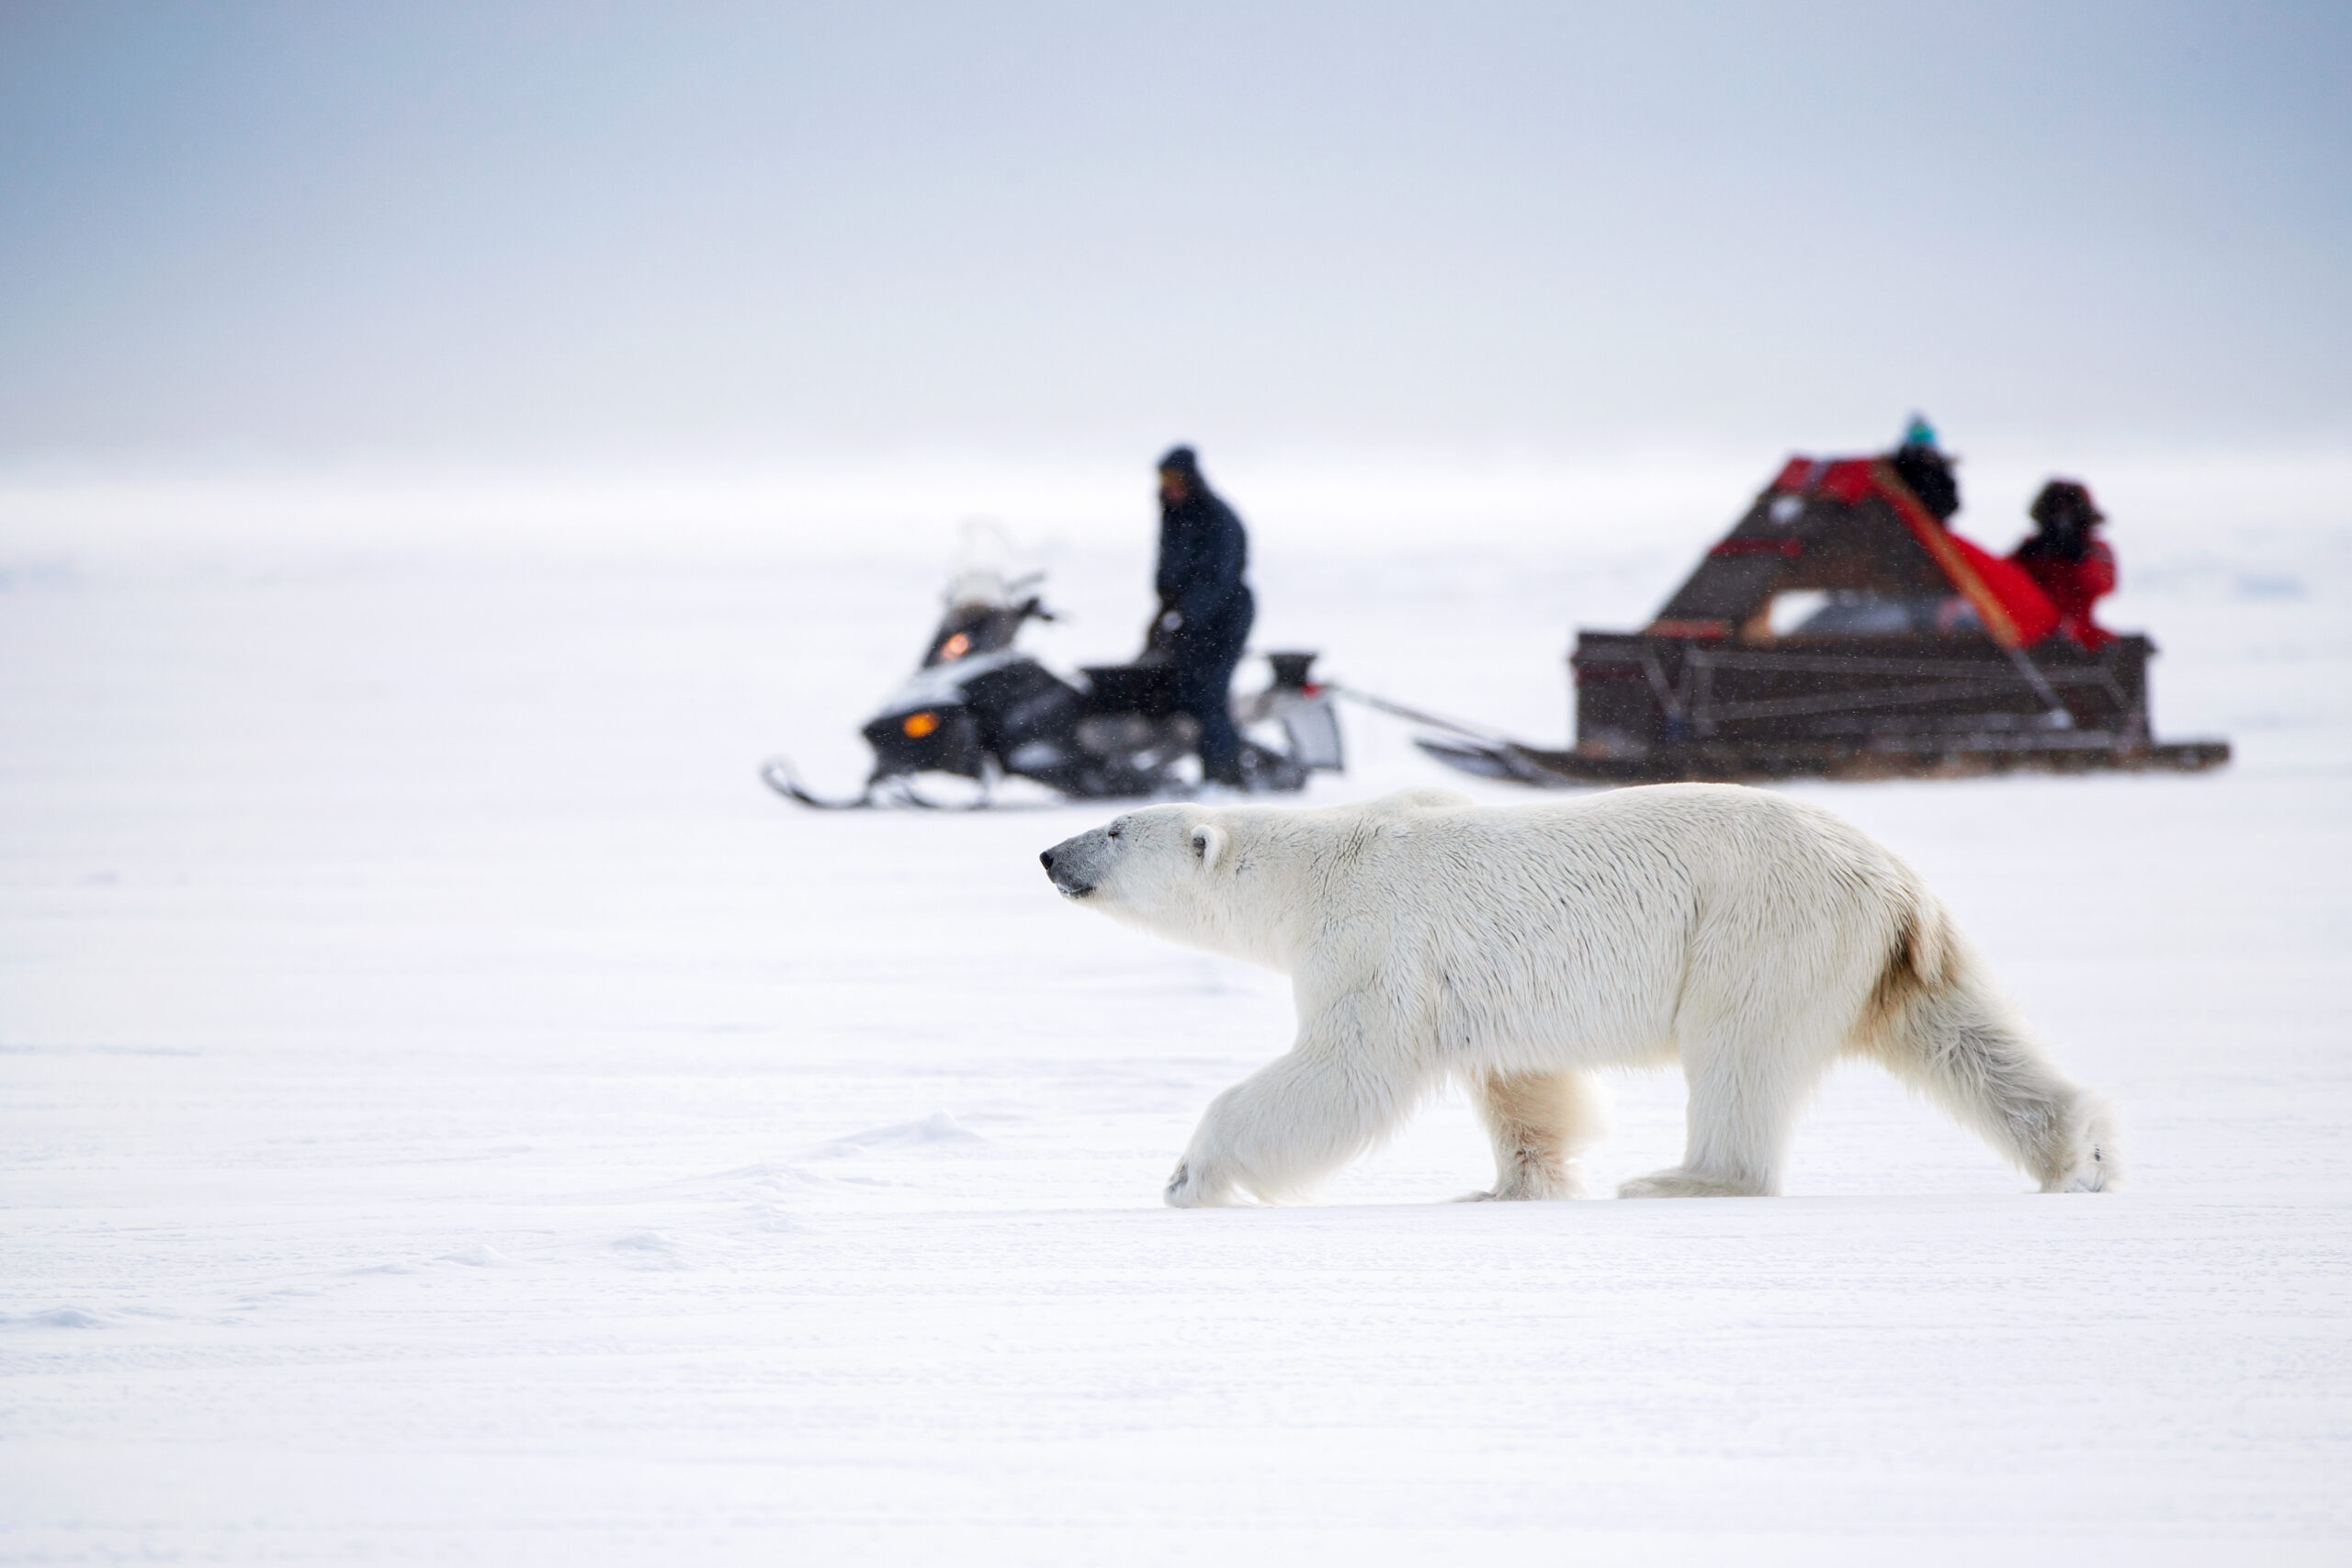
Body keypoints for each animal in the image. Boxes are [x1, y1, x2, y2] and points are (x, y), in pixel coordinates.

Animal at [1039, 789, 2126, 1213]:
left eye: (1116, 825)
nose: (1048, 853)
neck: (1317, 865)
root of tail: (1903, 884)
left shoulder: (1378, 941)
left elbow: (1344, 1068)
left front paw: (1190, 1173)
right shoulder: (1472, 985)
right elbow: (1520, 1082)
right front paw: (1507, 1186)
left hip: (1762, 924)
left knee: (1737, 1048)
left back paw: (1685, 1178)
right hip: (1884, 955)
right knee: (1960, 1038)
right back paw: (2081, 1152)